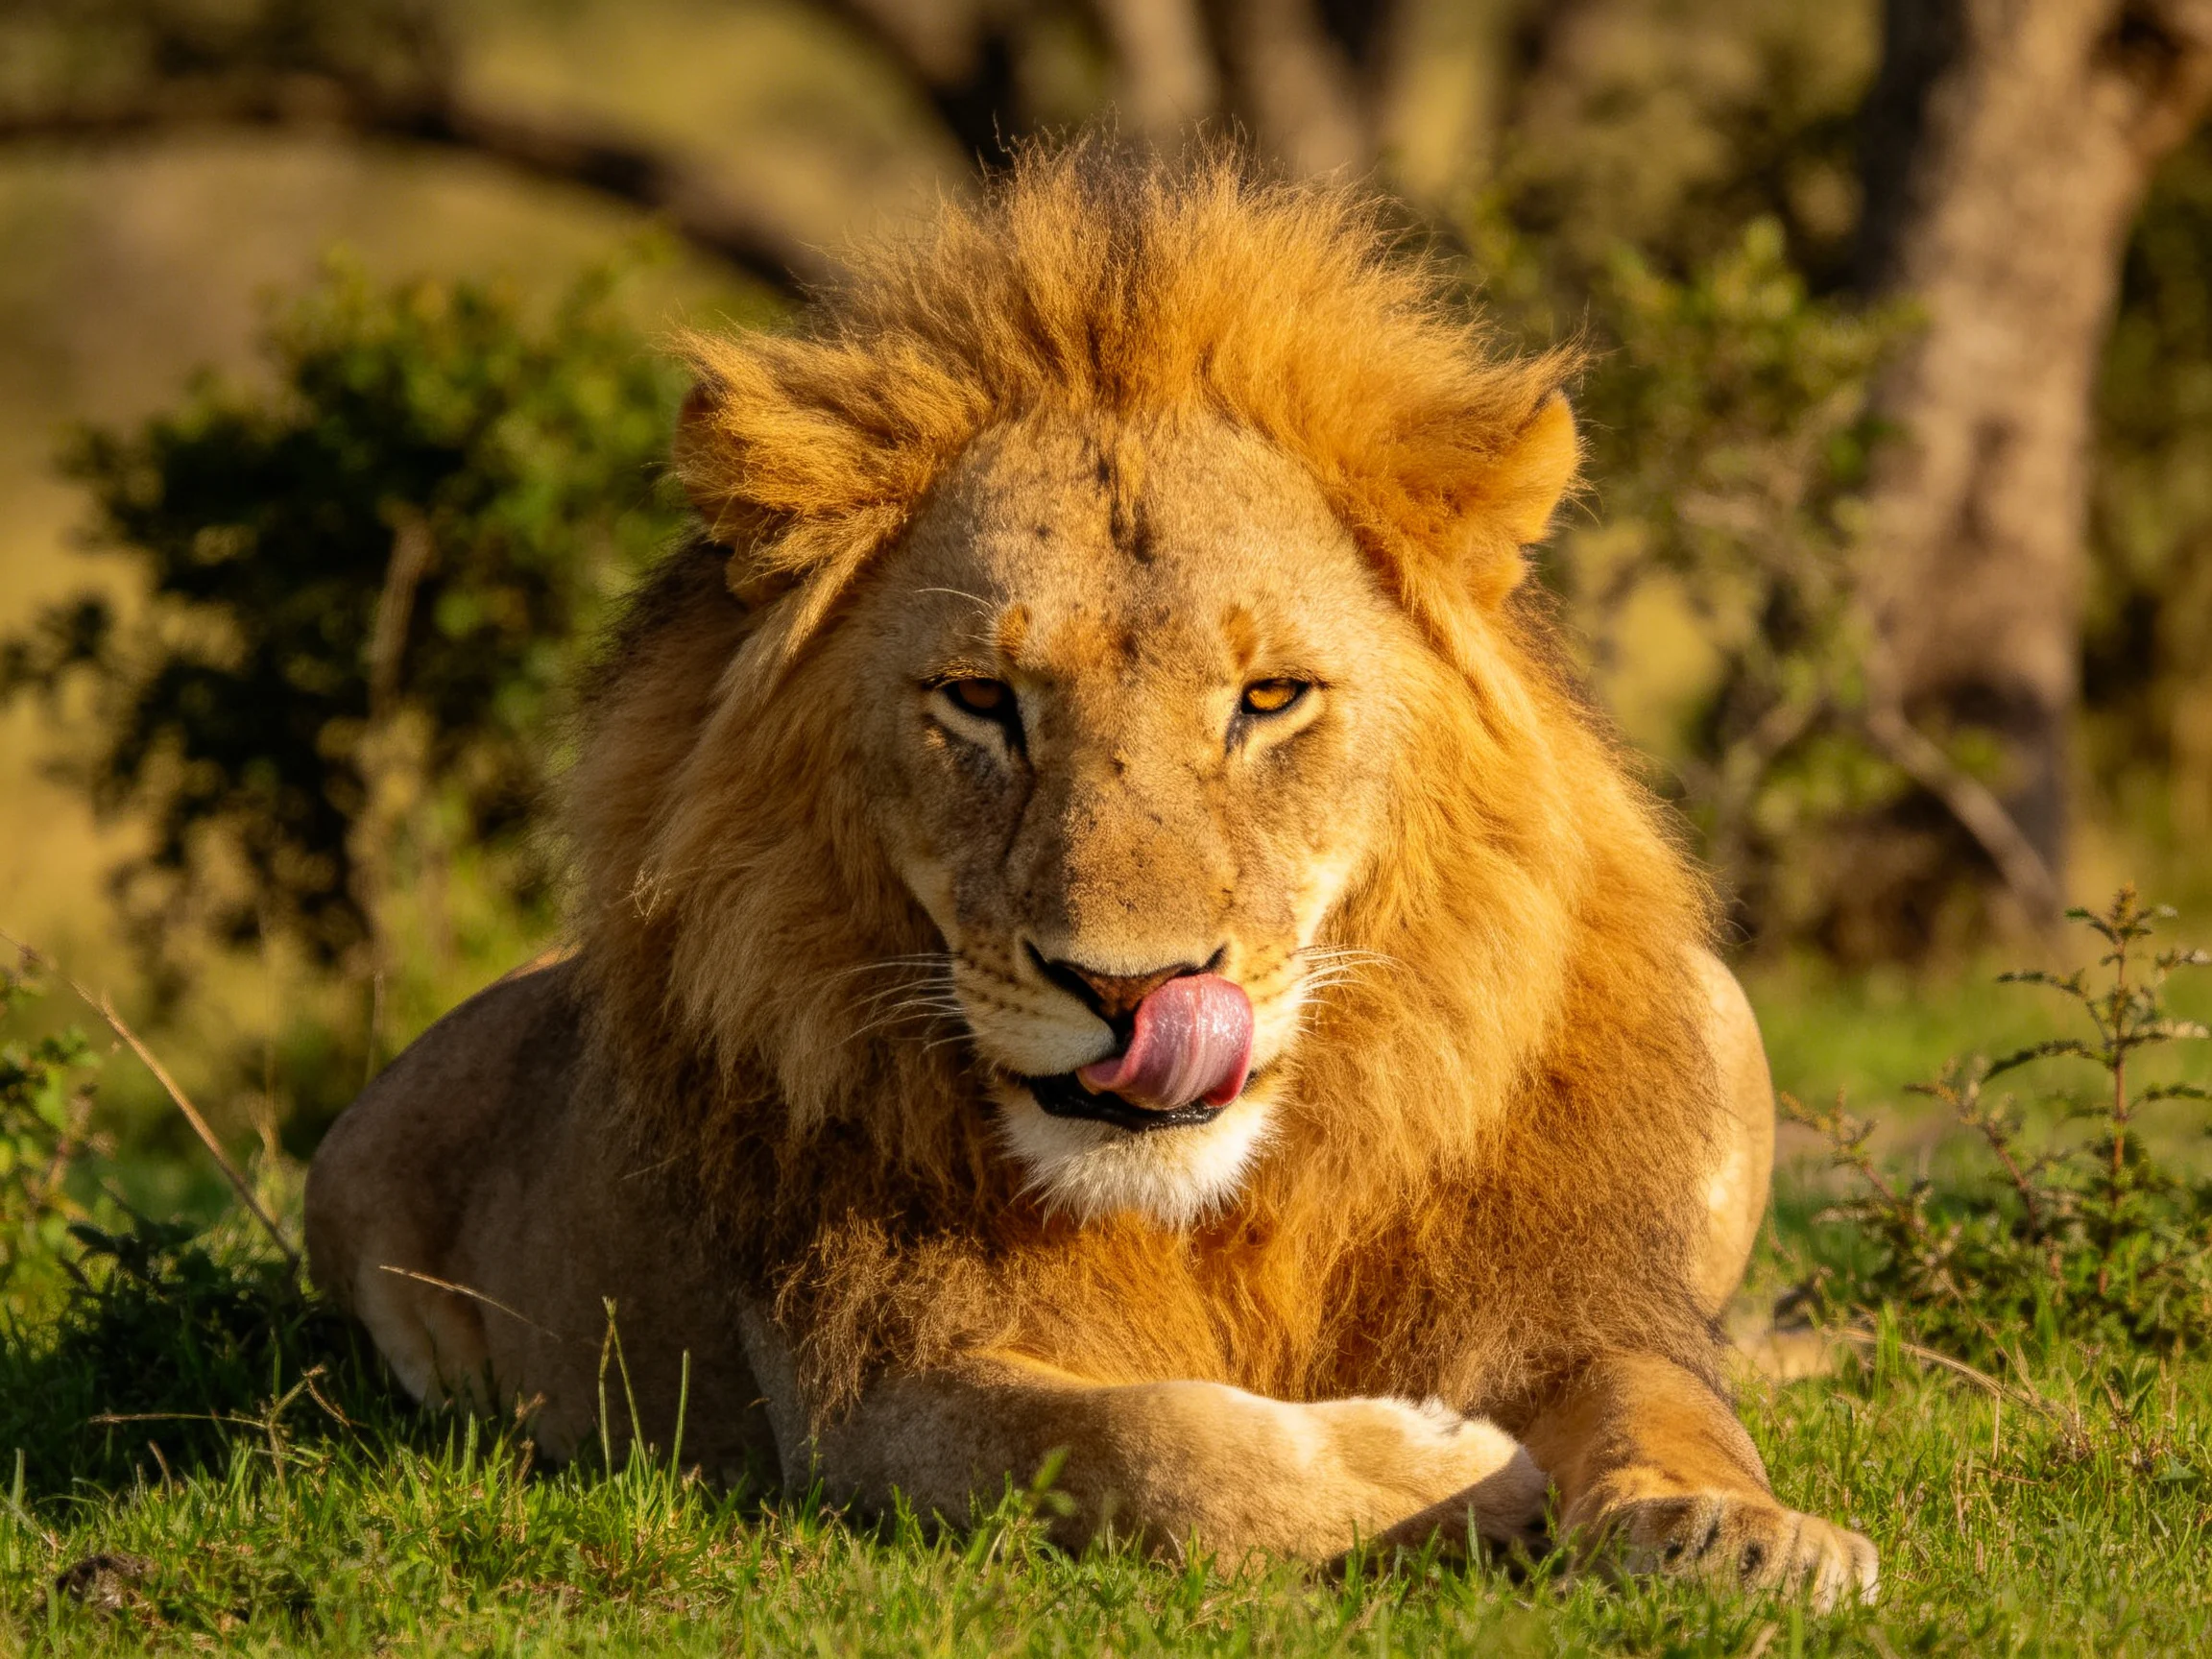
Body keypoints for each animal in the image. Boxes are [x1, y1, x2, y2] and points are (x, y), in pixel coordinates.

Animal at [305, 145, 1876, 1606]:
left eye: (1269, 699)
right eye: (981, 701)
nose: (1134, 992)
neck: (1210, 1212)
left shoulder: (1567, 1285)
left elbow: (1663, 1395)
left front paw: (1739, 1529)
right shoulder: (869, 1391)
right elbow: (1152, 1448)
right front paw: (1457, 1473)